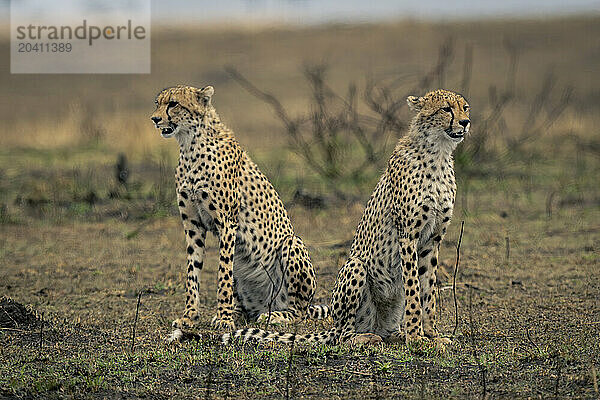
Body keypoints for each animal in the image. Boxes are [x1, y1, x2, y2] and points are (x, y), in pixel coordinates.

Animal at [150, 85, 328, 340]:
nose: (154, 119)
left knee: (298, 311)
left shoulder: (227, 224)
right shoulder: (193, 226)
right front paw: (190, 317)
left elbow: (222, 274)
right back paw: (240, 311)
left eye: (173, 104)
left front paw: (224, 318)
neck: (190, 145)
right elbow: (192, 273)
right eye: (157, 103)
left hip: (291, 243)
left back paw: (275, 316)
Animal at [223, 90, 472, 346]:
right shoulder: (407, 237)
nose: (465, 122)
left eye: (465, 107)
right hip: (355, 267)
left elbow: (428, 291)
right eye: (446, 109)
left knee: (383, 328)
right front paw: (416, 337)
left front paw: (432, 335)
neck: (438, 153)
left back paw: (395, 334)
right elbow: (414, 290)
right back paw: (365, 337)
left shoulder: (431, 241)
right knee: (343, 334)